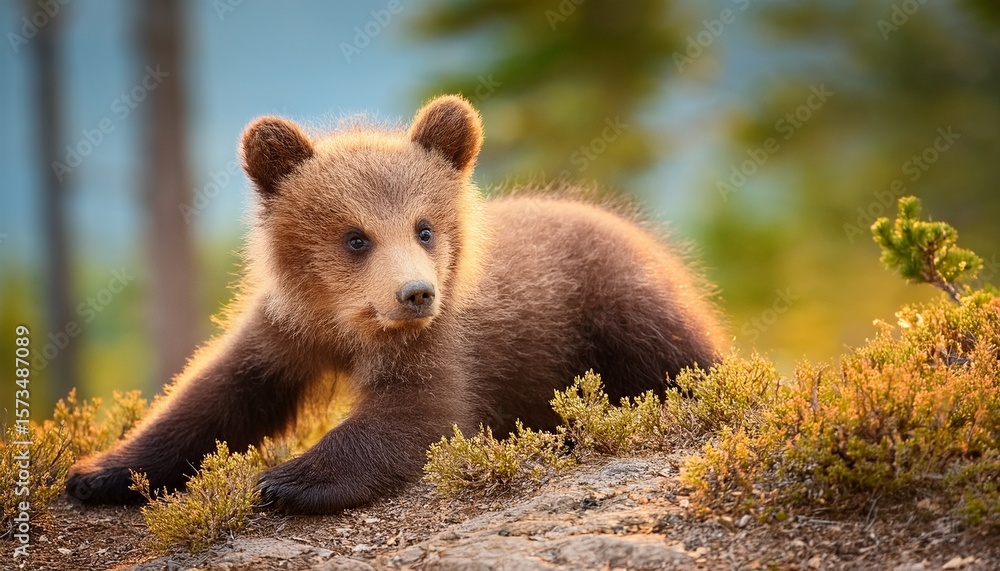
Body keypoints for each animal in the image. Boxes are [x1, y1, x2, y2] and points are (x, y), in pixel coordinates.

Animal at [66, 95, 724, 514]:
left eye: (424, 227)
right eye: (355, 237)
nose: (416, 293)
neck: (347, 325)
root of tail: (636, 230)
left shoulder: (444, 342)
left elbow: (415, 414)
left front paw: (288, 479)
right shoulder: (285, 329)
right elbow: (219, 393)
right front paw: (98, 472)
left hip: (614, 302)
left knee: (678, 357)